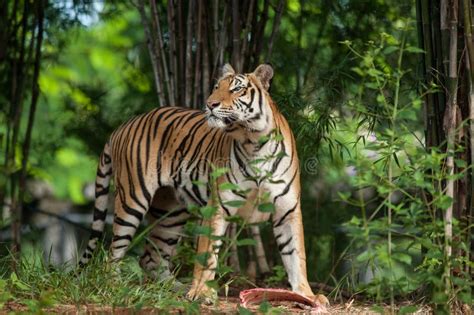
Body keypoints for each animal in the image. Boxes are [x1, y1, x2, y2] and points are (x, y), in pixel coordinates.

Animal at [79, 63, 328, 308]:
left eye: (237, 89)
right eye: (216, 87)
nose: (210, 104)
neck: (254, 141)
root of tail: (124, 124)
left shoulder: (288, 210)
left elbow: (296, 256)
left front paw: (307, 295)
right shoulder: (217, 207)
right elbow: (208, 255)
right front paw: (201, 293)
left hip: (171, 214)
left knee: (151, 258)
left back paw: (175, 288)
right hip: (132, 200)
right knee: (113, 251)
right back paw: (114, 285)